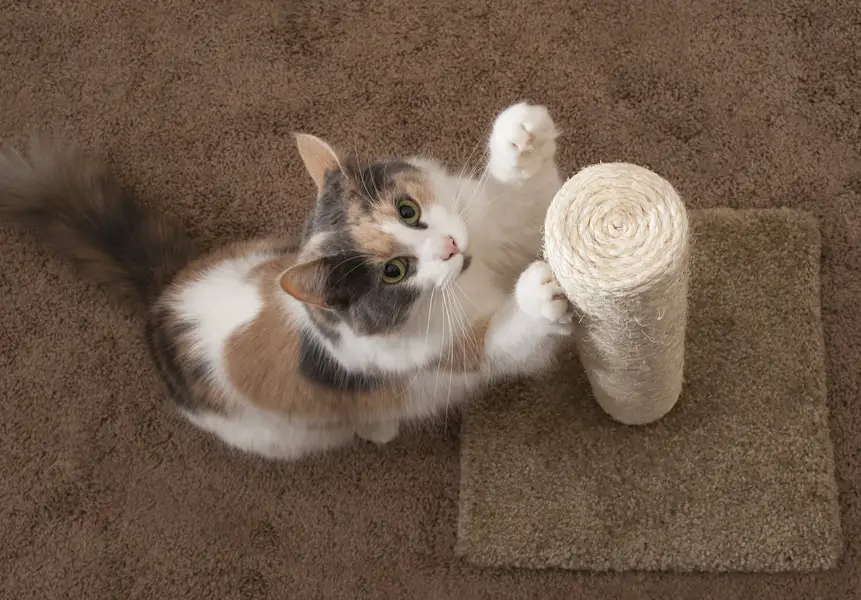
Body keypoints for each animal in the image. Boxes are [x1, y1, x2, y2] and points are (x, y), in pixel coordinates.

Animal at [0, 102, 576, 460]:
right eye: (394, 273)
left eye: (408, 211)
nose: (451, 248)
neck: (475, 274)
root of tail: (164, 293)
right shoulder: (462, 351)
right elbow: (509, 333)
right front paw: (540, 292)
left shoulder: (498, 228)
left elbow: (519, 198)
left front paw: (520, 137)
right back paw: (378, 426)